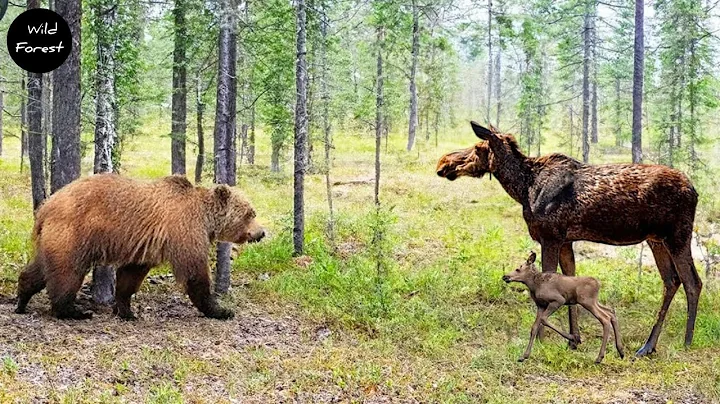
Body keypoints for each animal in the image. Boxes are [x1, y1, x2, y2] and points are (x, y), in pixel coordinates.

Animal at [15, 174, 265, 320]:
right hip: (74, 234)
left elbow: (131, 275)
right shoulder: (185, 231)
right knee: (67, 271)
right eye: (250, 213)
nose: (262, 232)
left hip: (54, 238)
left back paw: (22, 299)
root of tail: (46, 206)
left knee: (42, 268)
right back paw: (74, 311)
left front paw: (126, 310)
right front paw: (221, 310)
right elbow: (195, 272)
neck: (206, 218)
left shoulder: (145, 245)